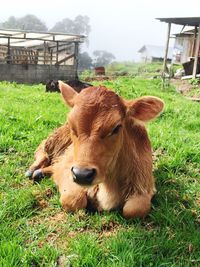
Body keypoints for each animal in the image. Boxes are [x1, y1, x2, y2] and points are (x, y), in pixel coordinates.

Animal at [27, 82, 164, 220]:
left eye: (116, 128)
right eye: (72, 126)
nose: (82, 175)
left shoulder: (145, 184)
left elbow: (134, 209)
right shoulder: (67, 168)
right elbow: (73, 200)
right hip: (55, 139)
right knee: (42, 150)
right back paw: (32, 170)